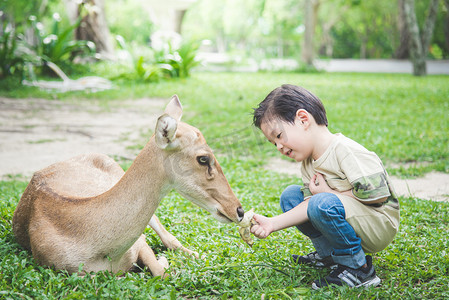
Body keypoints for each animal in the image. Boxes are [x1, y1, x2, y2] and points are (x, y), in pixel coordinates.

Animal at [12, 95, 245, 276]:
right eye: (203, 158)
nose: (239, 210)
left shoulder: (139, 243)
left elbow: (159, 268)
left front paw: (165, 261)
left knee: (170, 238)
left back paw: (199, 254)